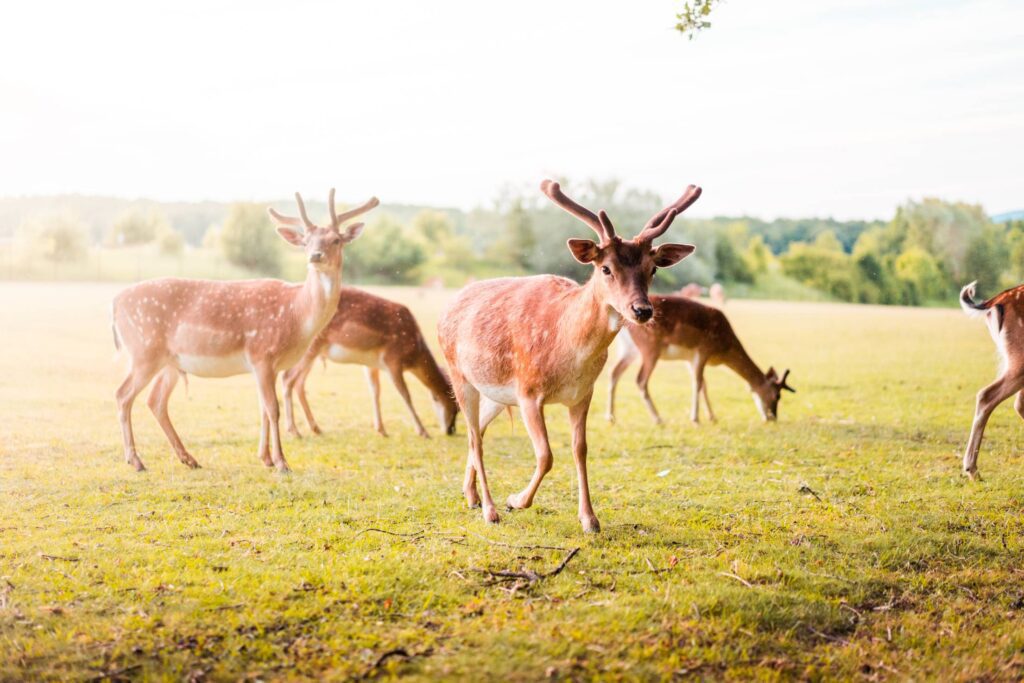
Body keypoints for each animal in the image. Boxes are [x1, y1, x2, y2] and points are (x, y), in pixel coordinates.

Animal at [109, 189, 380, 473]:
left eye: (336, 240)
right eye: (305, 241)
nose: (315, 256)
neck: (296, 316)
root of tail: (115, 303)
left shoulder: (268, 366)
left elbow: (262, 408)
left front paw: (266, 458)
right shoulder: (261, 354)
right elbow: (272, 408)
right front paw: (282, 462)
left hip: (169, 361)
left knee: (155, 401)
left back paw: (188, 458)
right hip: (144, 351)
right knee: (122, 395)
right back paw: (136, 461)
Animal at [280, 284, 456, 438]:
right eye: (455, 405)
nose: (451, 430)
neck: (414, 354)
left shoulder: (372, 364)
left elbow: (375, 391)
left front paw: (382, 430)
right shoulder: (392, 358)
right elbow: (405, 394)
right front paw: (423, 432)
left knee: (299, 382)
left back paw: (315, 428)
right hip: (312, 346)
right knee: (287, 378)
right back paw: (294, 431)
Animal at [436, 179, 700, 532]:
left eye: (653, 269)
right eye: (605, 268)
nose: (642, 310)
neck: (567, 354)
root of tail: (447, 306)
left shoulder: (582, 394)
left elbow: (580, 449)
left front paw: (590, 519)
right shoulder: (528, 391)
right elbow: (546, 455)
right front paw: (516, 500)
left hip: (494, 393)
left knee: (476, 432)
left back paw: (472, 496)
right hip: (459, 374)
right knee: (475, 438)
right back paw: (490, 509)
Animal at [602, 296, 794, 423]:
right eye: (777, 396)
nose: (772, 417)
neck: (724, 348)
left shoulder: (690, 359)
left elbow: (703, 384)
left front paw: (712, 416)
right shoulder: (703, 350)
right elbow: (698, 382)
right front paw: (695, 418)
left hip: (629, 350)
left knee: (614, 372)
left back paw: (610, 417)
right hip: (650, 347)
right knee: (640, 380)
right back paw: (658, 418)